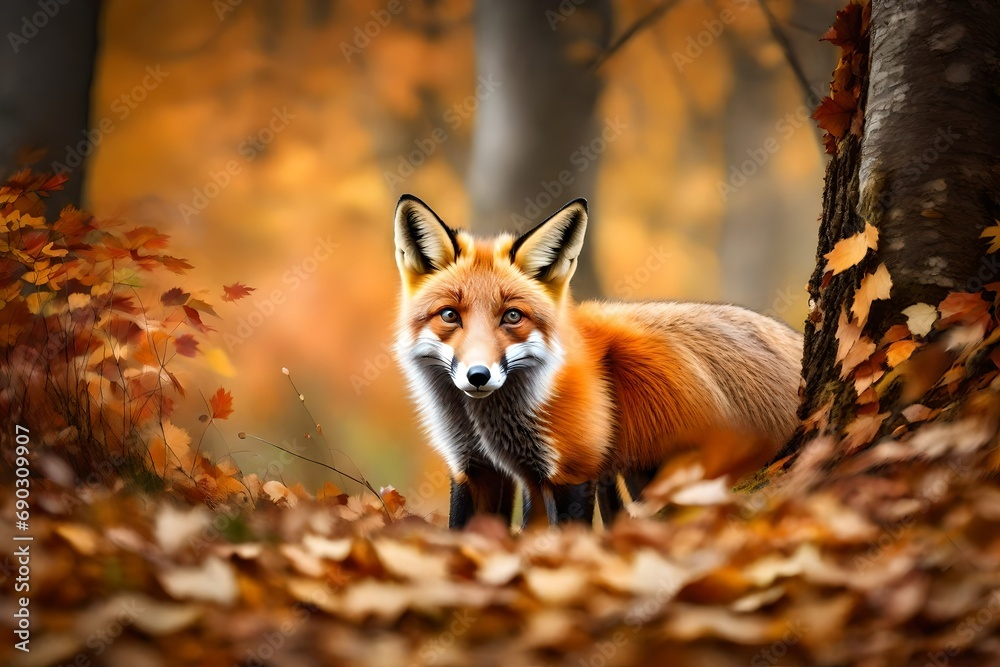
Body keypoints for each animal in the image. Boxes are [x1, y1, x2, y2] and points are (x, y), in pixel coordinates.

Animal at [393, 194, 803, 528]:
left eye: (512, 316)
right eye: (449, 315)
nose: (478, 376)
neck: (488, 427)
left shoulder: (572, 473)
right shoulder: (477, 470)